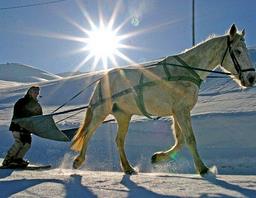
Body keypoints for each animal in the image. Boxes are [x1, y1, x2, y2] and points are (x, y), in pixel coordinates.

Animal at [70, 24, 256, 175]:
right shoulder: (180, 111)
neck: (187, 71)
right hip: (101, 111)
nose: (251, 78)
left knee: (119, 141)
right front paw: (203, 169)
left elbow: (181, 140)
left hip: (123, 115)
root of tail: (102, 79)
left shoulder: (178, 111)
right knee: (88, 133)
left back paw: (128, 168)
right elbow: (190, 139)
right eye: (238, 51)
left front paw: (158, 158)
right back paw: (78, 161)